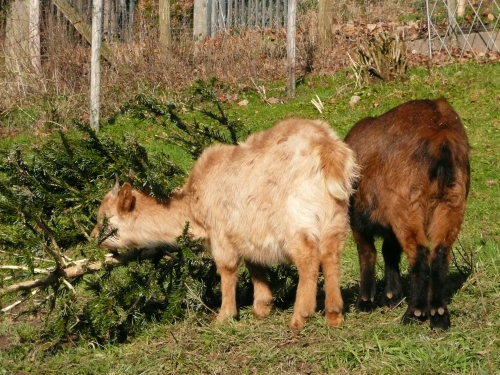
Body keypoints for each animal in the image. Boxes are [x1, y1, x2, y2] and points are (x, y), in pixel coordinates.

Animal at [93, 119, 360, 334]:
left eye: (105, 218)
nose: (94, 238)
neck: (192, 200)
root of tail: (327, 148)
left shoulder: (221, 231)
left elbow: (227, 268)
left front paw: (224, 315)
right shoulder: (245, 231)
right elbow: (255, 263)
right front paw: (261, 307)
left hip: (293, 219)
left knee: (308, 257)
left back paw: (299, 318)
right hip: (334, 217)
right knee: (331, 254)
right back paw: (334, 315)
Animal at [346, 99, 470, 328]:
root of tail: (440, 133)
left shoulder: (359, 221)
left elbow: (368, 253)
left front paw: (365, 302)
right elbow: (390, 251)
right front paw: (391, 297)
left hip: (408, 207)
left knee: (419, 253)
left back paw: (415, 312)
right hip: (452, 202)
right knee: (440, 253)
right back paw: (439, 315)